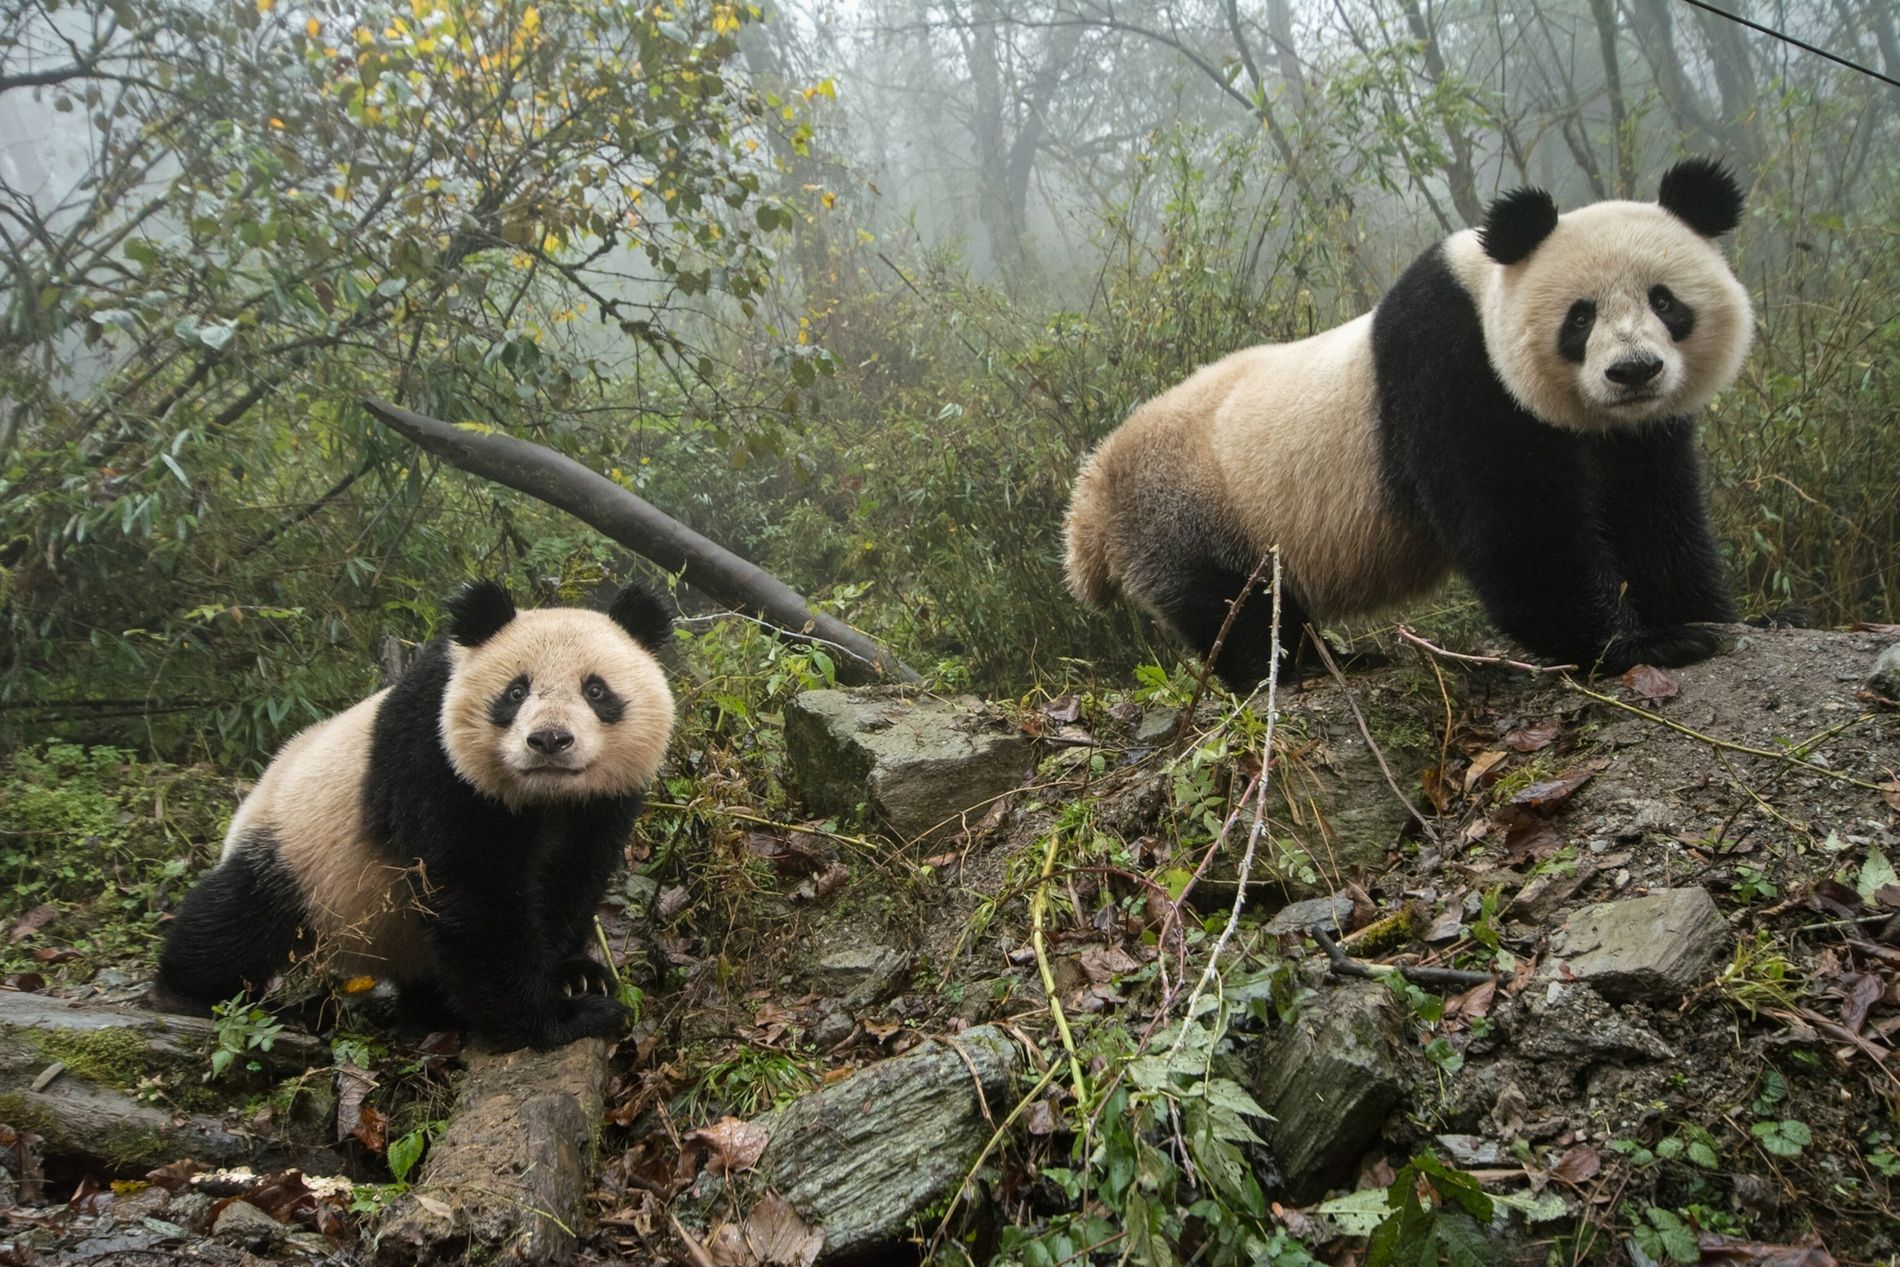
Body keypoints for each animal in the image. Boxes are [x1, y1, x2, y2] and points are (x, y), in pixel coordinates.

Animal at [156, 579, 676, 1051]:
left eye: (596, 690)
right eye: (515, 692)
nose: (549, 740)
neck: (544, 798)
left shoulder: (600, 804)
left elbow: (572, 878)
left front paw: (576, 976)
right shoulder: (431, 759)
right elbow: (475, 898)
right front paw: (558, 1017)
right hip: (296, 852)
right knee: (235, 920)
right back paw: (189, 991)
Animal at [1064, 158, 1753, 690]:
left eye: (1665, 301)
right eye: (1579, 318)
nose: (1633, 372)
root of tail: (1091, 490)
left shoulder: (1639, 433)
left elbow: (1653, 511)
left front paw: (1714, 618)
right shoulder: (1452, 369)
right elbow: (1516, 529)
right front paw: (1642, 645)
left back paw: (1343, 659)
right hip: (1186, 506)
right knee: (1233, 604)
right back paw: (1290, 671)